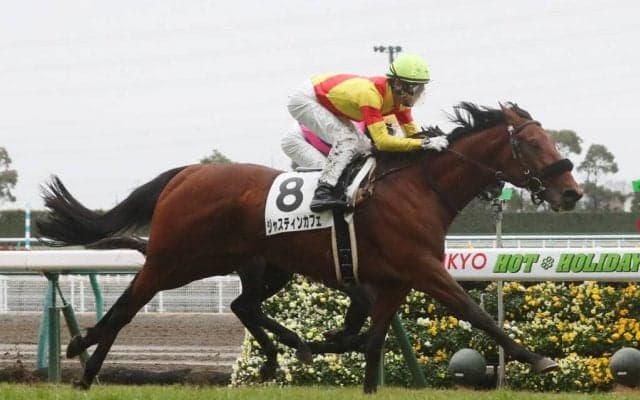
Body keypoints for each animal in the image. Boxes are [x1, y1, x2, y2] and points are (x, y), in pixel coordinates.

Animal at [36, 102, 582, 393]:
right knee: (130, 304)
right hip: (178, 259)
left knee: (239, 304)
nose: (572, 192)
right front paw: (539, 360)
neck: (421, 186)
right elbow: (476, 312)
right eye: (535, 144)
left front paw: (349, 368)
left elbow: (373, 342)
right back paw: (83, 361)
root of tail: (188, 173)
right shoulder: (424, 269)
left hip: (253, 264)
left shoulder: (394, 281)